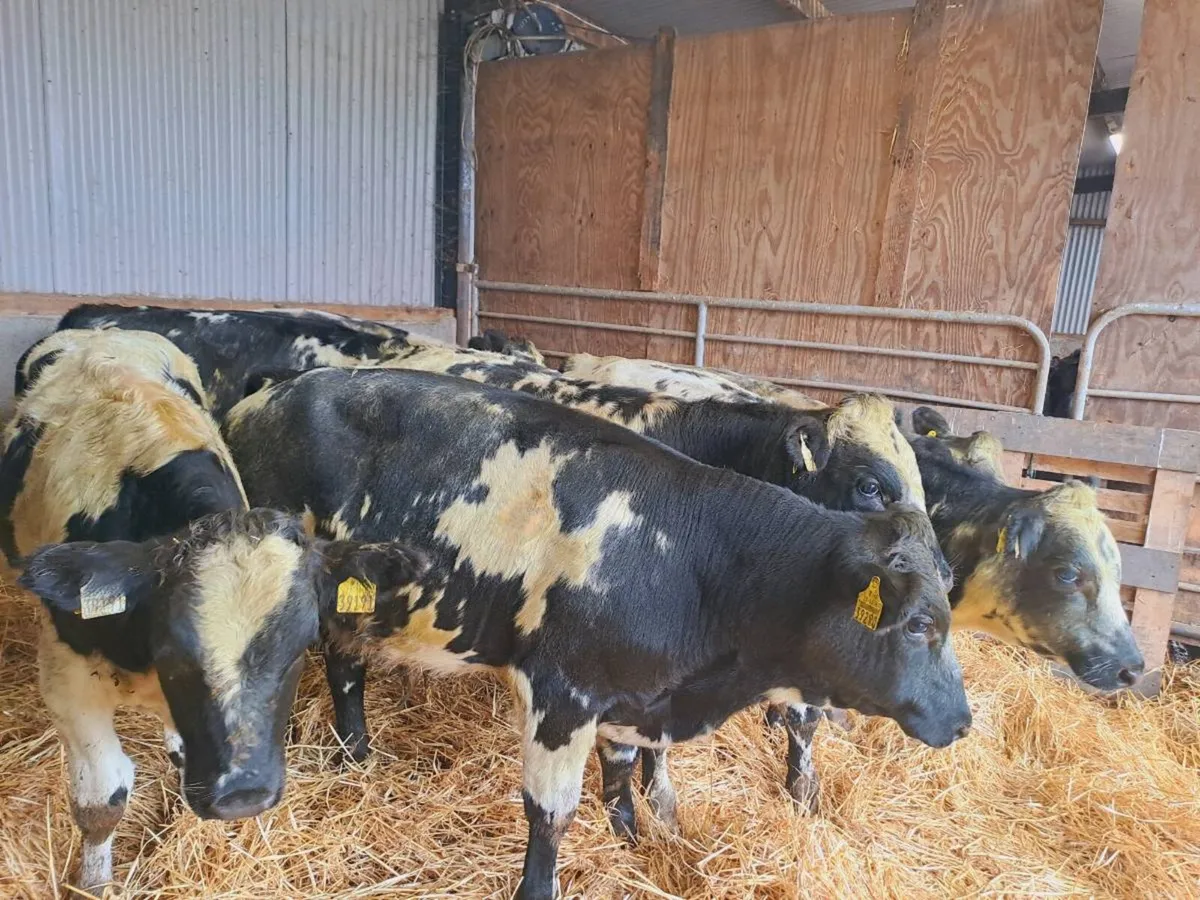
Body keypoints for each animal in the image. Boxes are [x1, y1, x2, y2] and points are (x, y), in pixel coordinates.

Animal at [1, 330, 426, 891]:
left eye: (300, 648)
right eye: (172, 650)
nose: (244, 792)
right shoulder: (68, 682)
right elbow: (101, 800)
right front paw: (93, 885)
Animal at [224, 366, 972, 900]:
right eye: (871, 484)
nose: (964, 721)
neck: (690, 554)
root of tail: (266, 396)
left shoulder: (636, 695)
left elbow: (624, 774)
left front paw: (641, 839)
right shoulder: (564, 697)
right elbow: (552, 815)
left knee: (347, 667)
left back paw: (356, 756)